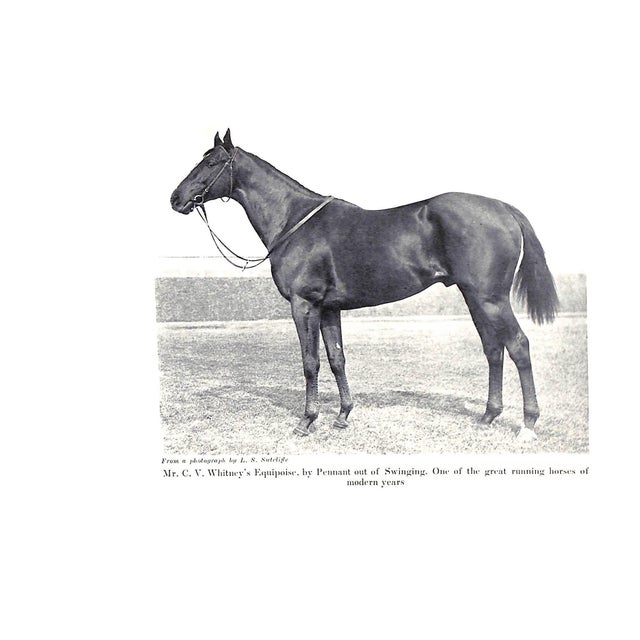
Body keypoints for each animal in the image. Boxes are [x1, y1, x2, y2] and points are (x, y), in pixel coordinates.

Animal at [170, 130, 558, 442]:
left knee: (518, 346)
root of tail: (503, 208)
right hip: (475, 298)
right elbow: (336, 358)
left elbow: (310, 362)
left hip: (491, 299)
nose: (176, 198)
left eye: (213, 162)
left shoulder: (303, 304)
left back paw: (527, 425)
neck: (295, 221)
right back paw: (488, 416)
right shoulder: (329, 308)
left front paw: (307, 421)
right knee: (494, 349)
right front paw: (343, 416)